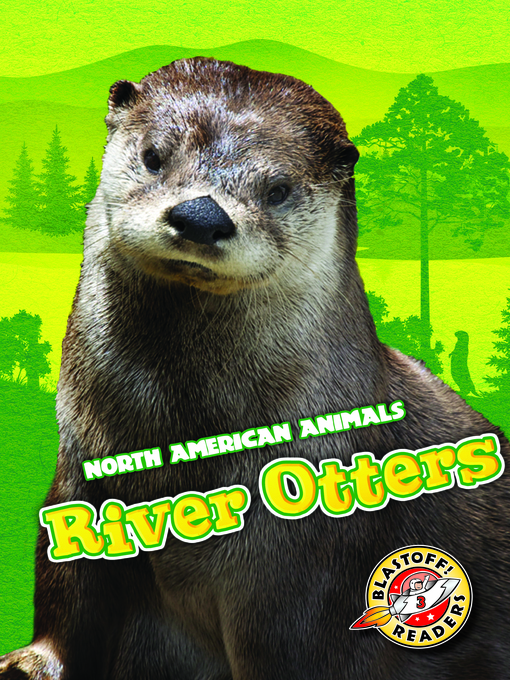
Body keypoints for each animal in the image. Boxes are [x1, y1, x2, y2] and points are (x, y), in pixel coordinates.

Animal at [1, 58, 509, 680]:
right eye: (154, 155)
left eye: (278, 189)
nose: (200, 215)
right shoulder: (78, 475)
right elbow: (68, 588)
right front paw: (32, 663)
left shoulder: (296, 566)